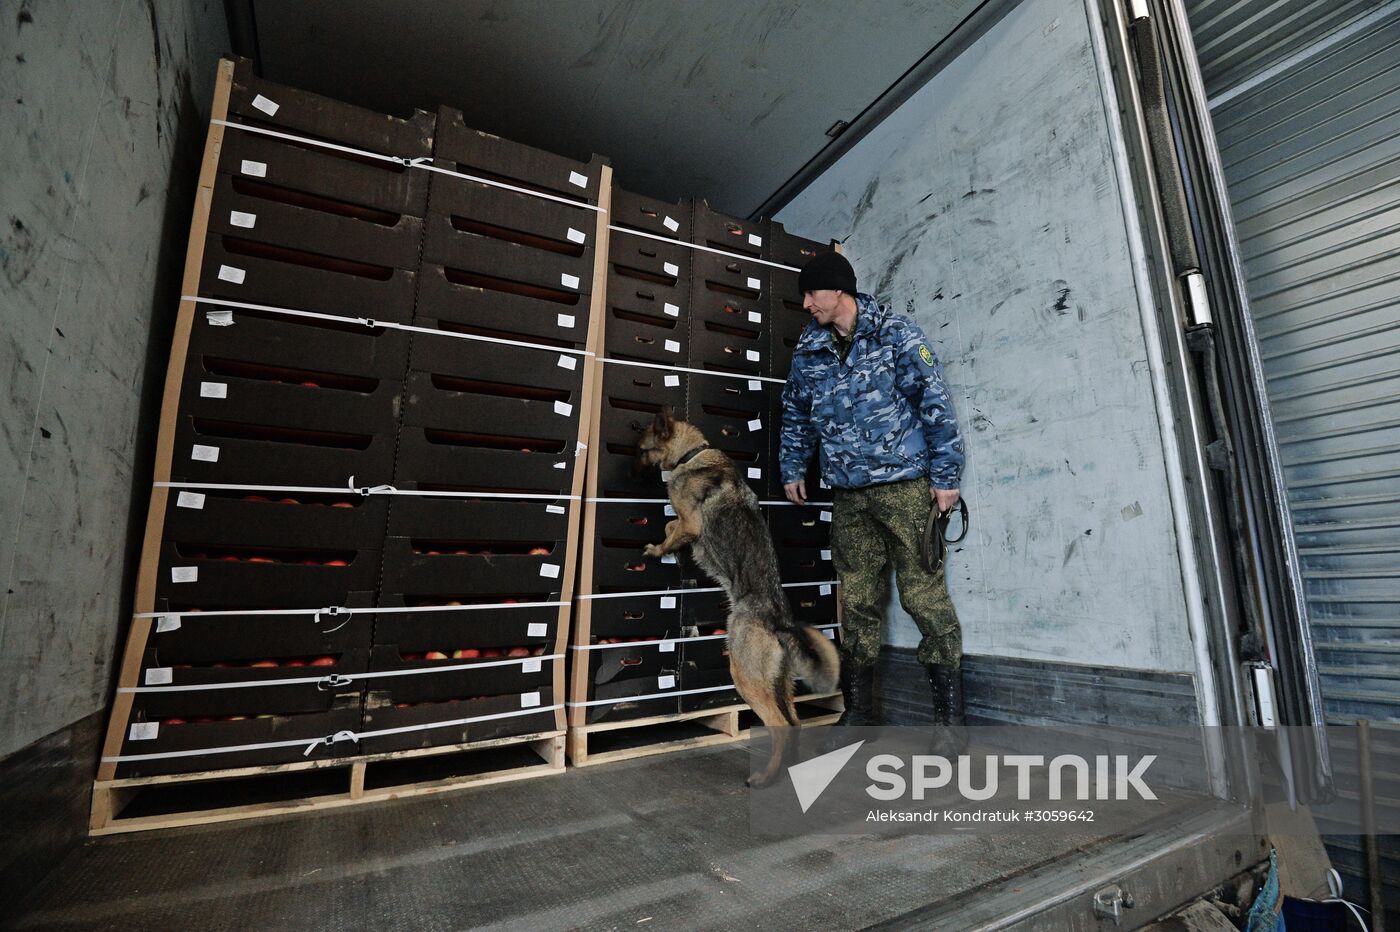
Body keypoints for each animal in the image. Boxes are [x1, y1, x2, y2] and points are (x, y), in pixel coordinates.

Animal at [638, 405, 840, 783]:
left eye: (642, 450)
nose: (633, 469)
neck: (693, 453)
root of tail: (778, 622)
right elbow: (672, 527)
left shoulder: (691, 523)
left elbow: (672, 529)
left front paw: (659, 549)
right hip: (778, 683)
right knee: (794, 722)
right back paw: (786, 769)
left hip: (744, 674)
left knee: (779, 725)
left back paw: (765, 778)